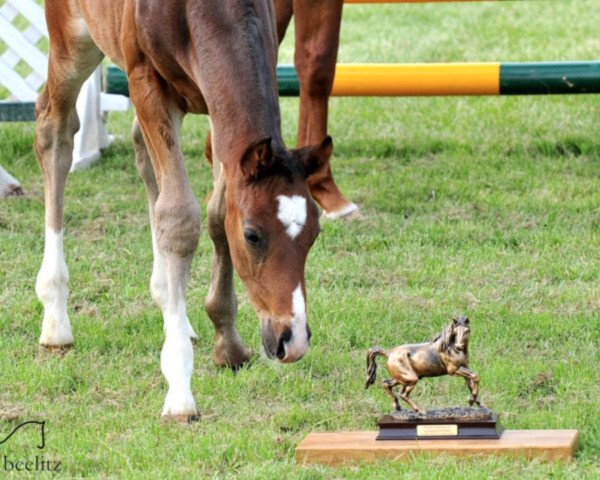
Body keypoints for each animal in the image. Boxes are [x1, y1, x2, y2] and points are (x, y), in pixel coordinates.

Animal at [34, 0, 328, 422]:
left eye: (314, 234)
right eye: (253, 236)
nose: (294, 339)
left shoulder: (222, 109)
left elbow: (217, 214)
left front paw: (228, 343)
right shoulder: (146, 83)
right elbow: (179, 219)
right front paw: (179, 391)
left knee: (142, 151)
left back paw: (171, 307)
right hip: (71, 42)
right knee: (54, 131)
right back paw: (56, 318)